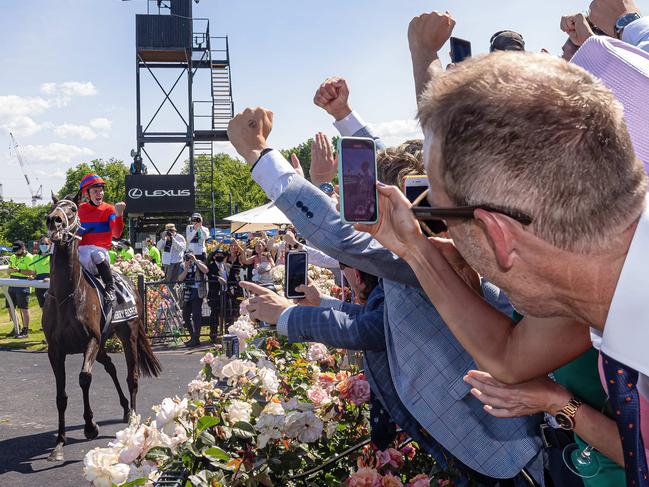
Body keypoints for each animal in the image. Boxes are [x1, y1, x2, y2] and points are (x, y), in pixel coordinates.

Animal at [43, 194, 161, 462]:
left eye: (72, 209)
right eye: (53, 206)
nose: (54, 220)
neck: (67, 295)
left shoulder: (91, 341)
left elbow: (84, 378)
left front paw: (90, 426)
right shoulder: (55, 350)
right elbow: (61, 396)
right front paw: (59, 443)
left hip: (128, 335)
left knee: (131, 376)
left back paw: (133, 417)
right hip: (105, 342)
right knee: (111, 367)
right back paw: (126, 409)